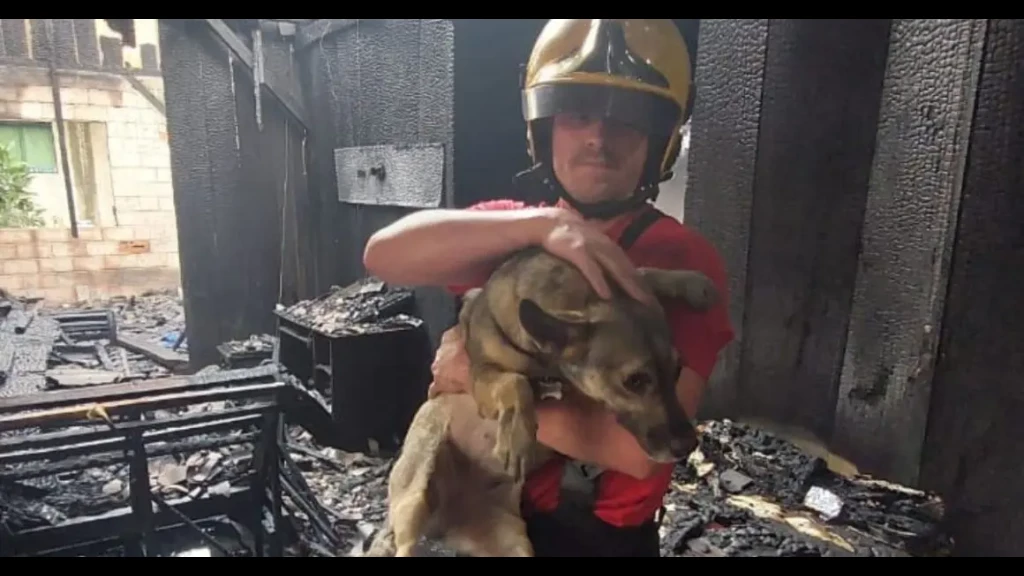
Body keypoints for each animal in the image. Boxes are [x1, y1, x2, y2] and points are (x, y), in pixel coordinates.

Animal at [364, 248, 716, 557]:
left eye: (678, 370)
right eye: (635, 381)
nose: (688, 444)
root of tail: (448, 518)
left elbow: (641, 272)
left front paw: (689, 282)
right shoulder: (482, 376)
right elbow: (516, 383)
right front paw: (517, 436)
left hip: (513, 542)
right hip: (417, 489)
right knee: (405, 544)